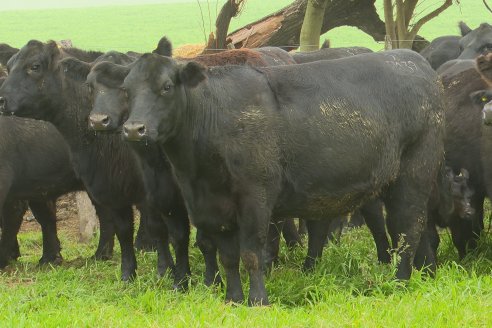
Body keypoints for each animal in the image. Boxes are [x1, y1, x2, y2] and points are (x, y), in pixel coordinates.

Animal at [120, 49, 446, 304]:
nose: (134, 129)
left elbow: (251, 253)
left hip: (414, 176)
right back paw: (425, 272)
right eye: (126, 90)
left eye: (166, 86)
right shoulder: (212, 206)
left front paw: (257, 300)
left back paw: (400, 282)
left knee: (408, 229)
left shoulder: (255, 198)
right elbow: (228, 257)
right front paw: (232, 299)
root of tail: (415, 61)